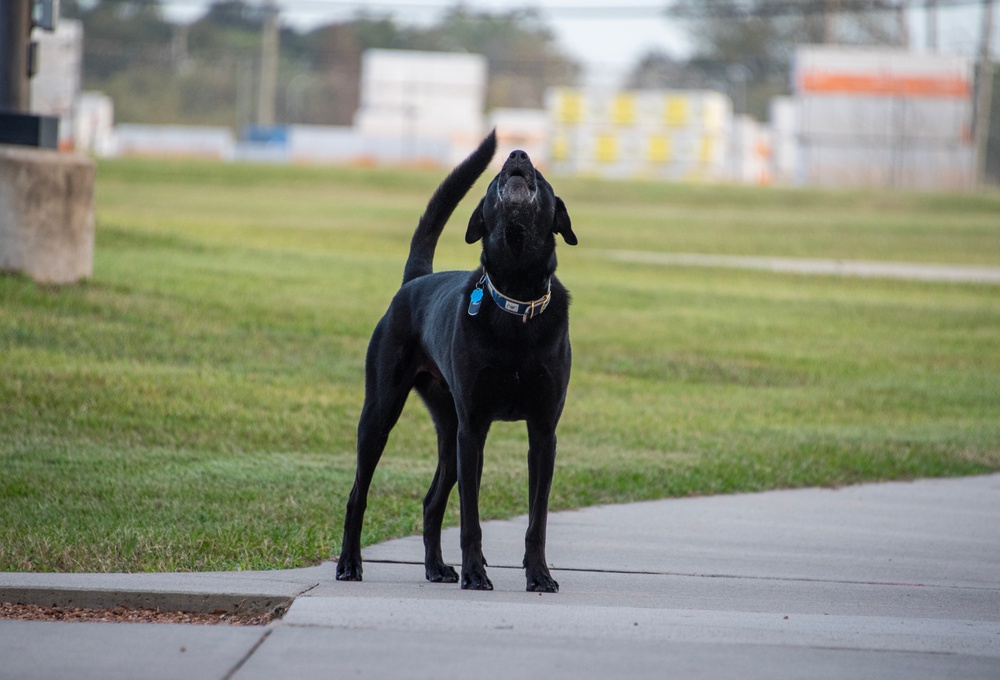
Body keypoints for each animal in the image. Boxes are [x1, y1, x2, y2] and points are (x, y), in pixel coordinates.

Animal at [334, 131, 576, 588]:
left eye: (540, 176)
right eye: (496, 178)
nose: (517, 154)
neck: (516, 295)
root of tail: (415, 280)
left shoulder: (543, 434)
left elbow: (537, 519)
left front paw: (539, 576)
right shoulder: (474, 430)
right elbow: (471, 518)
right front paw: (476, 573)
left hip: (448, 431)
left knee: (431, 502)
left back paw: (435, 567)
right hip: (382, 414)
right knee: (358, 494)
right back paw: (349, 564)